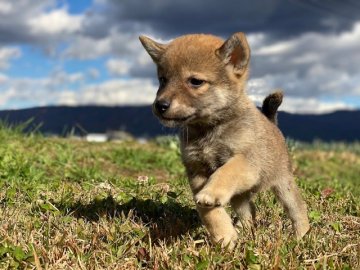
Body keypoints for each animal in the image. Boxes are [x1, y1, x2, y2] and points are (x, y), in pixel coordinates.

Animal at [139, 32, 308, 248]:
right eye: (163, 80)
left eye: (195, 81)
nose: (160, 105)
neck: (210, 130)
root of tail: (273, 124)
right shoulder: (197, 172)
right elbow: (209, 212)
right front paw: (224, 236)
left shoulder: (247, 162)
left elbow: (226, 172)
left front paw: (212, 193)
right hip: (239, 197)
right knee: (249, 212)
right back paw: (243, 230)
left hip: (283, 185)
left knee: (298, 210)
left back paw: (302, 236)